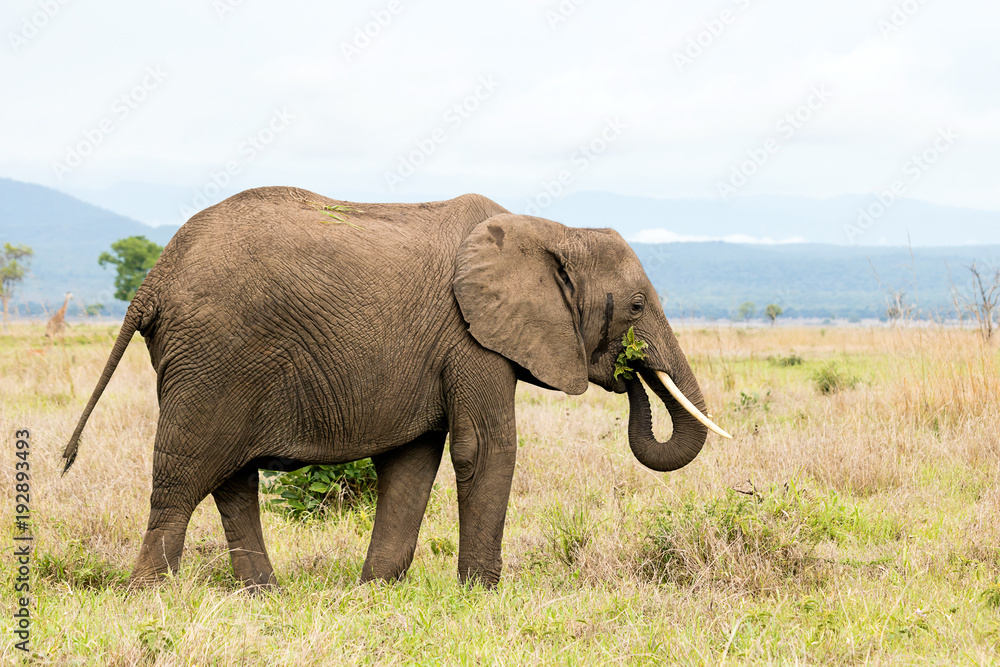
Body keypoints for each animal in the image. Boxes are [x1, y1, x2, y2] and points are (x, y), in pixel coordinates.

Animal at [62, 187, 730, 590]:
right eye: (636, 305)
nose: (630, 369)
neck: (554, 229)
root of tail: (154, 277)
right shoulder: (471, 337)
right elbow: (484, 450)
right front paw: (482, 595)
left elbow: (413, 462)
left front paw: (375, 590)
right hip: (212, 357)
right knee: (185, 471)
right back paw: (149, 594)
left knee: (231, 479)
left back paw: (263, 595)